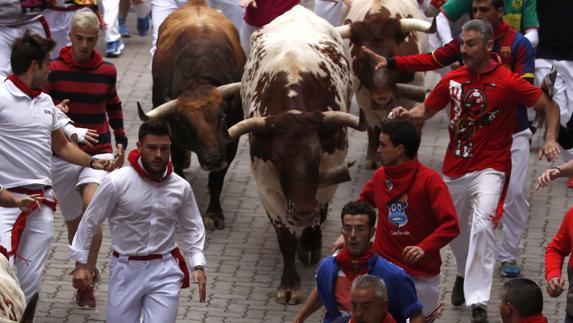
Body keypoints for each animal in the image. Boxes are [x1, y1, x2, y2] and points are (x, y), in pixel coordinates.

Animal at [140, 0, 247, 230]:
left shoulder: (230, 142)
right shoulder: (172, 135)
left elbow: (217, 179)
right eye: (186, 124)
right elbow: (178, 163)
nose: (213, 159)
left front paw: (214, 214)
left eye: (222, 117)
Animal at [221, 5, 364, 306]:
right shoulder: (266, 184)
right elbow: (285, 239)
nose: (301, 212)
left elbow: (319, 208)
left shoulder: (330, 171)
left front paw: (309, 243)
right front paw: (289, 285)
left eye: (316, 157)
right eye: (278, 160)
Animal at [340, 0, 434, 167]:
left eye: (394, 55)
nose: (382, 100)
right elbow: (375, 127)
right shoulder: (364, 98)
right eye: (361, 59)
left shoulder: (415, 96)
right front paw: (376, 157)